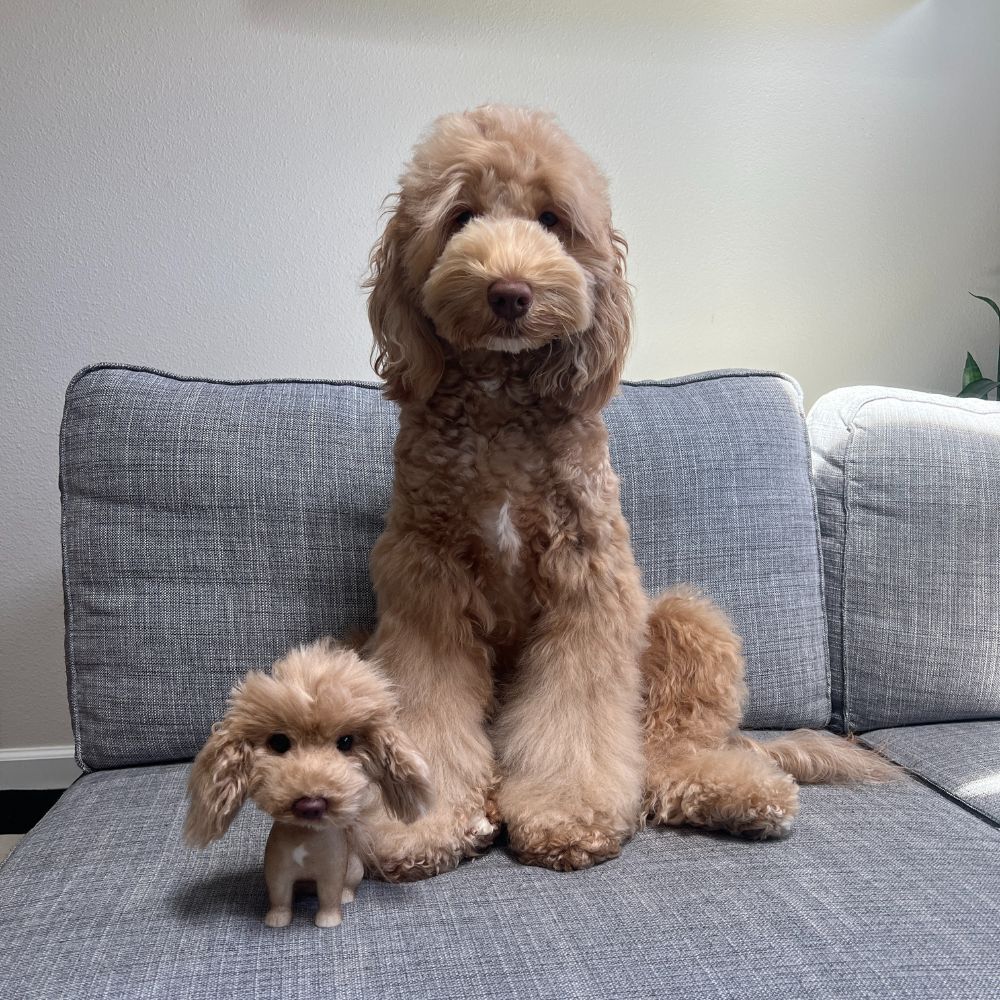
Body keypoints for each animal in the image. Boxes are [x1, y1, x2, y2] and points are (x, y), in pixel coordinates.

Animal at [186, 640, 432, 920]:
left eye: (346, 742)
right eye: (279, 742)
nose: (311, 805)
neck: (306, 839)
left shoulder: (332, 874)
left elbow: (330, 897)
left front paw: (328, 920)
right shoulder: (277, 871)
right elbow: (279, 898)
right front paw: (276, 921)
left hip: (354, 868)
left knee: (348, 885)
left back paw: (347, 897)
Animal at [362, 105, 900, 880]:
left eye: (553, 220)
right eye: (461, 216)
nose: (510, 293)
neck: (500, 404)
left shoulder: (589, 578)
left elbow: (579, 716)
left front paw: (568, 814)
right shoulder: (425, 584)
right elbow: (430, 710)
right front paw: (422, 826)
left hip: (681, 622)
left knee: (670, 751)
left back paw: (738, 792)